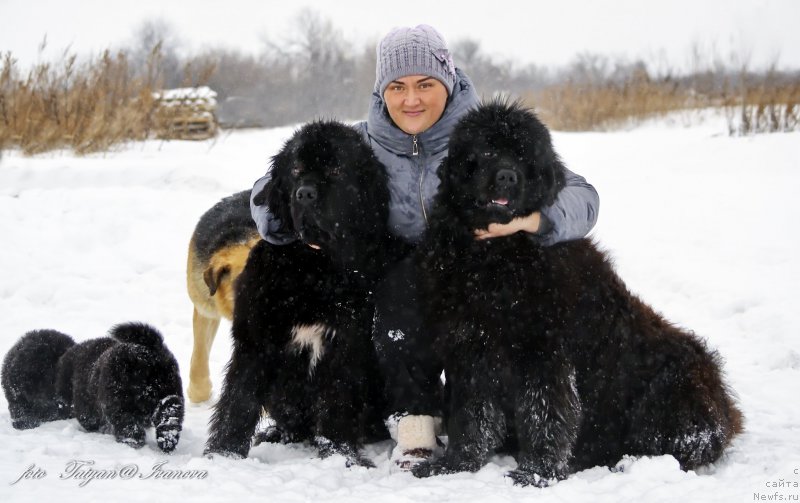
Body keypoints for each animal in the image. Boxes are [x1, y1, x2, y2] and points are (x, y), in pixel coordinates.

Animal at [2, 324, 186, 454]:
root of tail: (144, 354)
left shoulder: (84, 406)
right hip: (170, 394)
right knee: (169, 416)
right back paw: (167, 441)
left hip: (120, 403)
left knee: (128, 426)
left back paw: (132, 441)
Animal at [205, 121, 396, 468]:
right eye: (295, 169)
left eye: (336, 168)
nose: (305, 193)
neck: (312, 264)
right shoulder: (255, 340)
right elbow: (239, 401)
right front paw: (223, 454)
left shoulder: (344, 343)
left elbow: (336, 405)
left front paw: (340, 456)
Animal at [412, 101, 744, 488]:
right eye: (487, 151)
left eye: (524, 156)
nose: (507, 177)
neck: (495, 257)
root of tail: (727, 409)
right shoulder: (470, 346)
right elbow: (471, 413)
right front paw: (455, 464)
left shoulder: (543, 349)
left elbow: (545, 411)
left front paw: (536, 472)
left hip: (673, 386)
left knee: (683, 443)